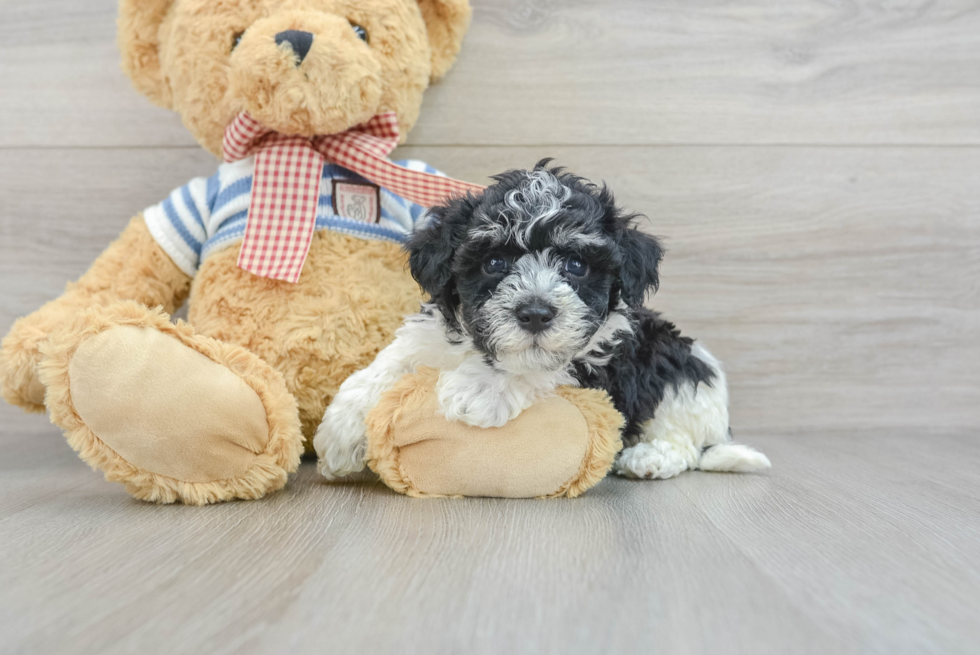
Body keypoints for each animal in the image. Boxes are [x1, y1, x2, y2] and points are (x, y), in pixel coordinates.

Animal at [318, 161, 768, 482]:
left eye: (576, 265)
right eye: (493, 263)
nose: (535, 313)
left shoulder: (602, 358)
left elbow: (541, 367)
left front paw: (478, 389)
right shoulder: (432, 337)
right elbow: (391, 362)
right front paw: (340, 430)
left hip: (678, 364)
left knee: (685, 441)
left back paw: (648, 458)